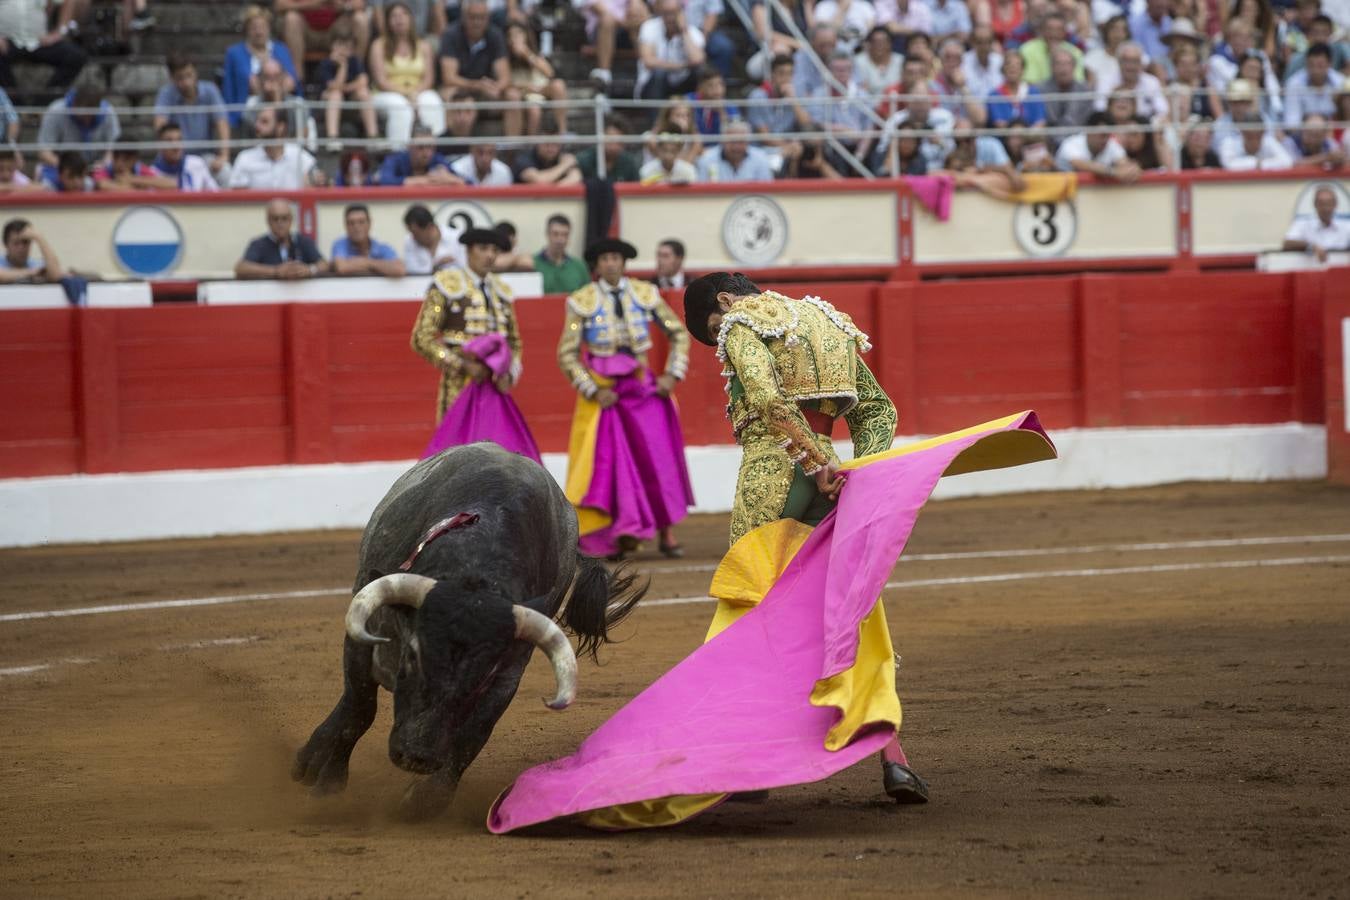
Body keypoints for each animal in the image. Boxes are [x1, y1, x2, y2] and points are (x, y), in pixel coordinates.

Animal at [288, 445, 642, 825]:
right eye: (412, 655)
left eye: (481, 676)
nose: (417, 754)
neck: (474, 568)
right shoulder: (363, 634)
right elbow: (359, 708)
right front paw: (327, 785)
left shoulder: (507, 672)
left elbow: (474, 732)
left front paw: (426, 800)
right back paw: (309, 760)